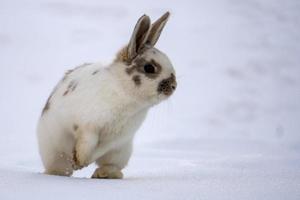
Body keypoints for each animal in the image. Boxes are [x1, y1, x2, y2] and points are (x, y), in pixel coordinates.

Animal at [36, 11, 177, 179]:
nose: (174, 86)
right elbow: (86, 145)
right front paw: (79, 162)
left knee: (111, 165)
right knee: (60, 168)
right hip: (53, 149)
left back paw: (104, 174)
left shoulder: (117, 139)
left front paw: (81, 164)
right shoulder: (88, 127)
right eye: (149, 68)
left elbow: (98, 151)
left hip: (122, 152)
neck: (124, 91)